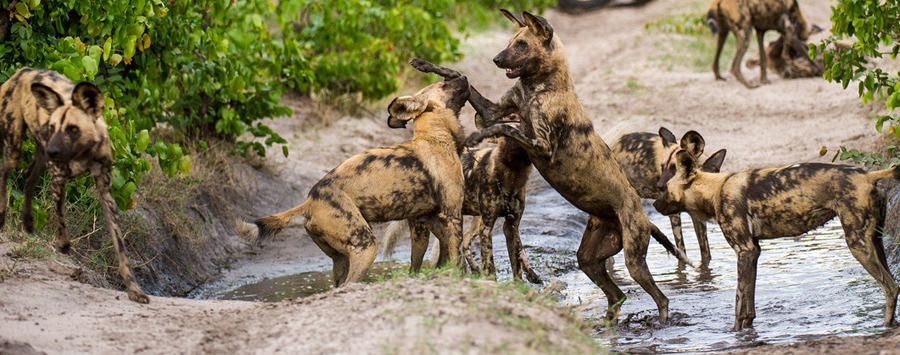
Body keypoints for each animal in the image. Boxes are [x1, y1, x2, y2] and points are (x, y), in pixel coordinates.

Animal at [0, 68, 149, 304]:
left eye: (73, 129)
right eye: (53, 127)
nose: (52, 150)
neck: (82, 152)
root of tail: (21, 72)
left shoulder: (105, 191)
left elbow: (120, 248)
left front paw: (134, 289)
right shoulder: (58, 179)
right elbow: (61, 218)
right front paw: (63, 245)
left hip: (39, 158)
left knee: (29, 178)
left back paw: (28, 221)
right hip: (16, 148)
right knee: (4, 170)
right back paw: (2, 215)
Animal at [241, 75, 472, 286]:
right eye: (444, 84)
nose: (463, 76)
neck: (435, 137)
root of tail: (309, 201)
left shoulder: (424, 220)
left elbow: (421, 261)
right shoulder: (451, 215)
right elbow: (456, 256)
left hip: (342, 258)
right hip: (366, 246)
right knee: (349, 282)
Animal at [460, 10, 692, 326]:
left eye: (521, 44)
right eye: (510, 41)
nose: (496, 59)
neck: (539, 86)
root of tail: (642, 215)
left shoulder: (539, 144)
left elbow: (505, 128)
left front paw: (477, 136)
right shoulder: (494, 110)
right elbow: (466, 83)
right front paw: (431, 68)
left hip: (633, 262)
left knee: (661, 298)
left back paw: (660, 324)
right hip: (589, 260)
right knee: (617, 295)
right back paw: (607, 325)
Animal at [616, 127, 728, 264]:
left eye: (675, 167)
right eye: (662, 166)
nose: (660, 186)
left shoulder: (697, 217)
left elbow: (706, 253)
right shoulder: (674, 214)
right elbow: (681, 249)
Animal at [652, 154, 900, 332]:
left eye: (665, 189)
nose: (654, 204)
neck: (716, 191)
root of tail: (867, 175)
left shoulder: (744, 251)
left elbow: (738, 302)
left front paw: (734, 333)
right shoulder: (754, 252)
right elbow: (749, 303)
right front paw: (749, 329)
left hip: (857, 244)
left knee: (890, 287)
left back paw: (884, 326)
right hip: (875, 242)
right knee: (894, 285)